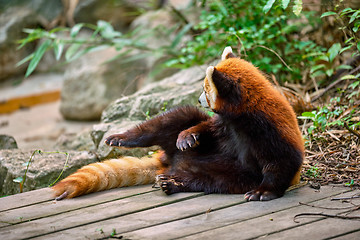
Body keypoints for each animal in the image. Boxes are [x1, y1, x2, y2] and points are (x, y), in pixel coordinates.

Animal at [52, 46, 302, 201]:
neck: (242, 119)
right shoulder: (224, 124)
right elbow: (205, 127)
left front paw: (264, 192)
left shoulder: (269, 132)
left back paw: (172, 183)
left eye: (204, 90)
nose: (198, 100)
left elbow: (281, 163)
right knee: (168, 120)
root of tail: (169, 162)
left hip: (228, 173)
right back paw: (123, 138)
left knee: (214, 180)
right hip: (175, 132)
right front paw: (187, 137)